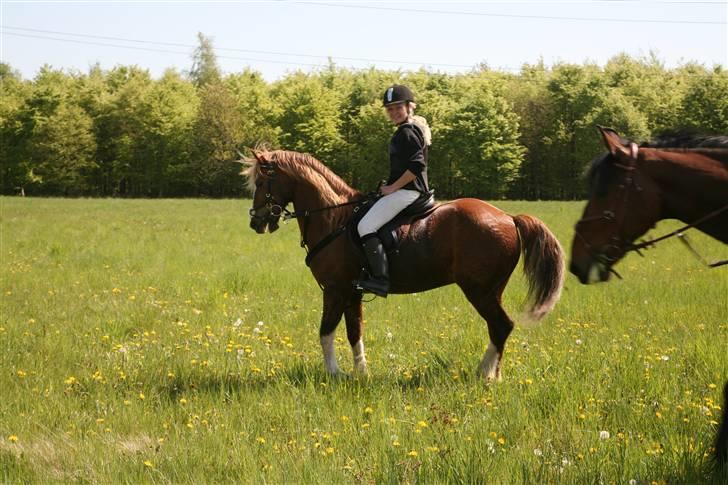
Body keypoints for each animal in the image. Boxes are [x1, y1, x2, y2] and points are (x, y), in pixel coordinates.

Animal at [243, 149, 564, 380]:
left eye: (260, 183)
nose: (256, 222)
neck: (335, 219)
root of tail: (508, 217)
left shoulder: (334, 290)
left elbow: (325, 332)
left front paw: (333, 374)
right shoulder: (352, 293)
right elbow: (354, 333)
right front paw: (361, 374)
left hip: (480, 291)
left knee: (501, 325)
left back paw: (485, 374)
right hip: (490, 291)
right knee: (499, 328)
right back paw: (493, 373)